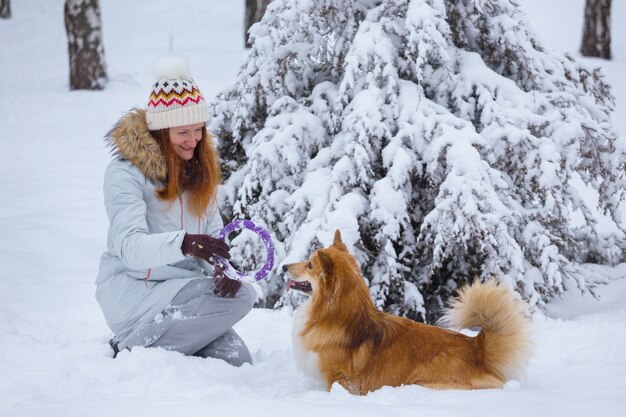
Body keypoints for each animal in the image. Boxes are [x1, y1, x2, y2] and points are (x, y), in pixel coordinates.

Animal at [282, 229, 532, 394]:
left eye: (310, 265)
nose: (283, 266)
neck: (338, 315)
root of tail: (477, 348)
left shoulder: (339, 380)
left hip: (423, 383)